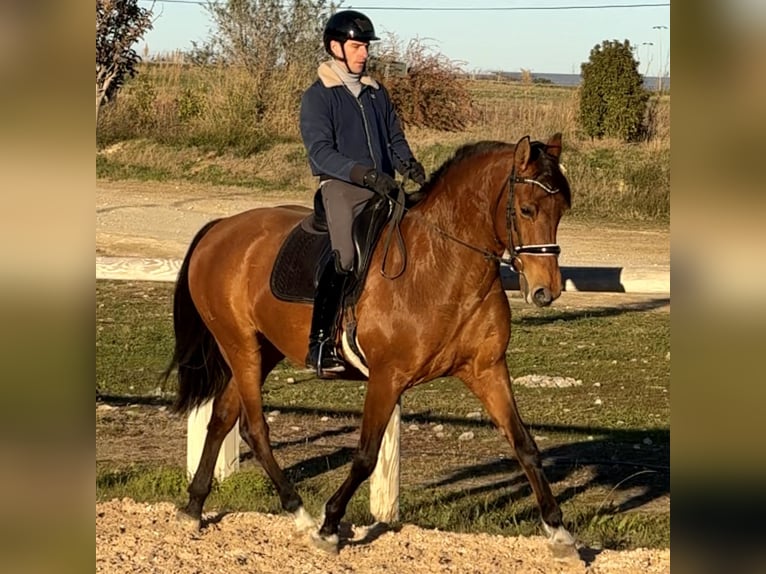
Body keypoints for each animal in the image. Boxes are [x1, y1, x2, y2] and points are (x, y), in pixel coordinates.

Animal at [165, 133, 580, 556]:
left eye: (561, 210)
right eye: (527, 209)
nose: (547, 291)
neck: (444, 264)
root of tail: (221, 228)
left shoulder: (487, 369)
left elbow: (524, 444)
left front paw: (559, 531)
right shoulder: (387, 377)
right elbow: (365, 455)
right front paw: (329, 526)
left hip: (262, 350)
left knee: (221, 418)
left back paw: (194, 507)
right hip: (241, 346)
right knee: (254, 429)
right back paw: (300, 514)